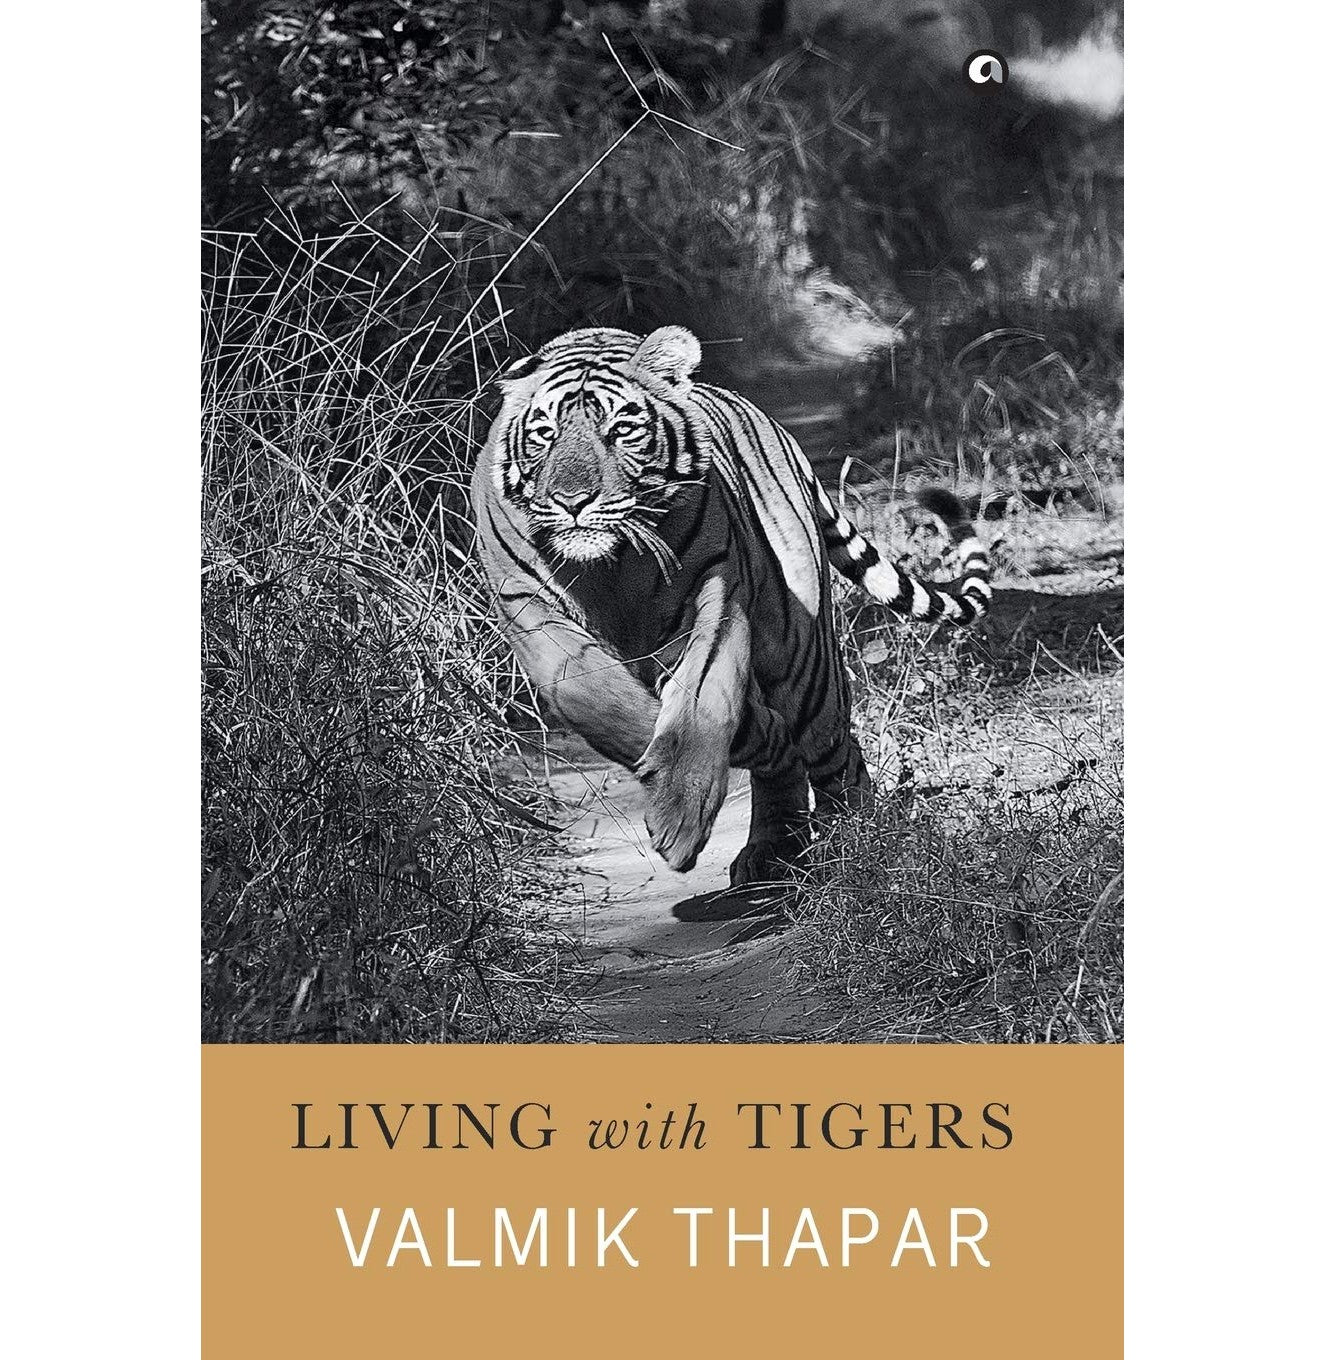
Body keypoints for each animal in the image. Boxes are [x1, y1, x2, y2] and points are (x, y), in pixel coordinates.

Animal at [471, 325, 991, 887]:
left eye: (621, 429)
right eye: (544, 433)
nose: (572, 501)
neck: (611, 568)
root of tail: (781, 433)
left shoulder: (716, 589)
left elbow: (706, 694)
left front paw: (680, 812)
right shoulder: (526, 605)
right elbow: (590, 693)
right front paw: (734, 739)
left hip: (801, 661)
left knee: (835, 751)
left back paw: (852, 844)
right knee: (788, 760)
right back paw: (776, 841)